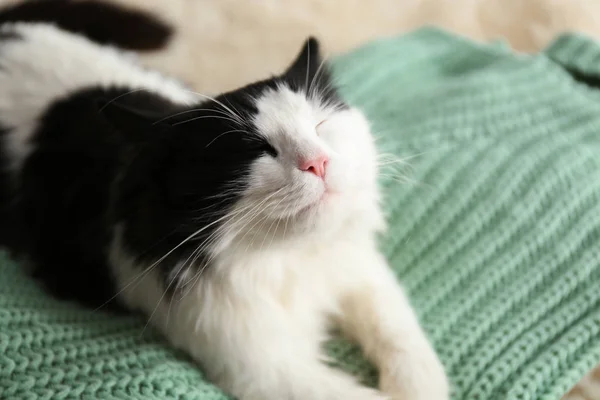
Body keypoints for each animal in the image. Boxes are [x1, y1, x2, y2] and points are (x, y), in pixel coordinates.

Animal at [0, 18, 450, 400]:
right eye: (257, 150)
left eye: (321, 126)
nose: (317, 162)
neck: (289, 261)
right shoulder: (259, 366)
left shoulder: (358, 267)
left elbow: (400, 332)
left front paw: (418, 385)